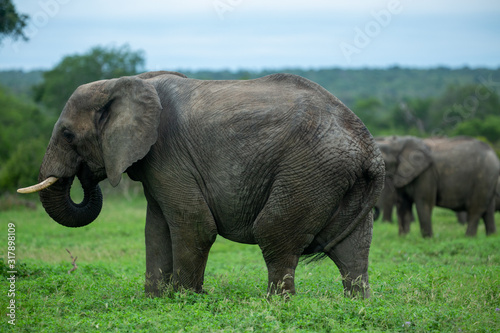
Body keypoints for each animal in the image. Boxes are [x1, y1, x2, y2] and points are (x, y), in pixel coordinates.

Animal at [18, 71, 386, 296]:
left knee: (273, 233)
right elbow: (155, 229)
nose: (84, 174)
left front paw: (184, 299)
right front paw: (155, 300)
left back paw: (276, 307)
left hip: (309, 169)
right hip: (339, 178)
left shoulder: (169, 152)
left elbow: (194, 226)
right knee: (352, 251)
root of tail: (370, 149)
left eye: (68, 134)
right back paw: (357, 307)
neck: (127, 82)